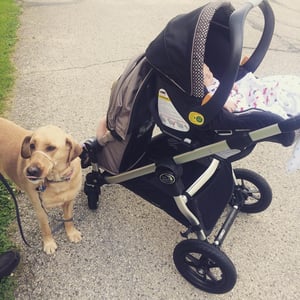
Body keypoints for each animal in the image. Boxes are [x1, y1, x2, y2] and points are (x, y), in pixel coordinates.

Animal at [0, 118, 82, 254]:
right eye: (32, 146)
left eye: (51, 148)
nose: (30, 171)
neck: (57, 181)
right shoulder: (40, 210)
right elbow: (46, 228)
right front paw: (49, 243)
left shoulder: (69, 202)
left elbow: (68, 219)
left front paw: (72, 233)